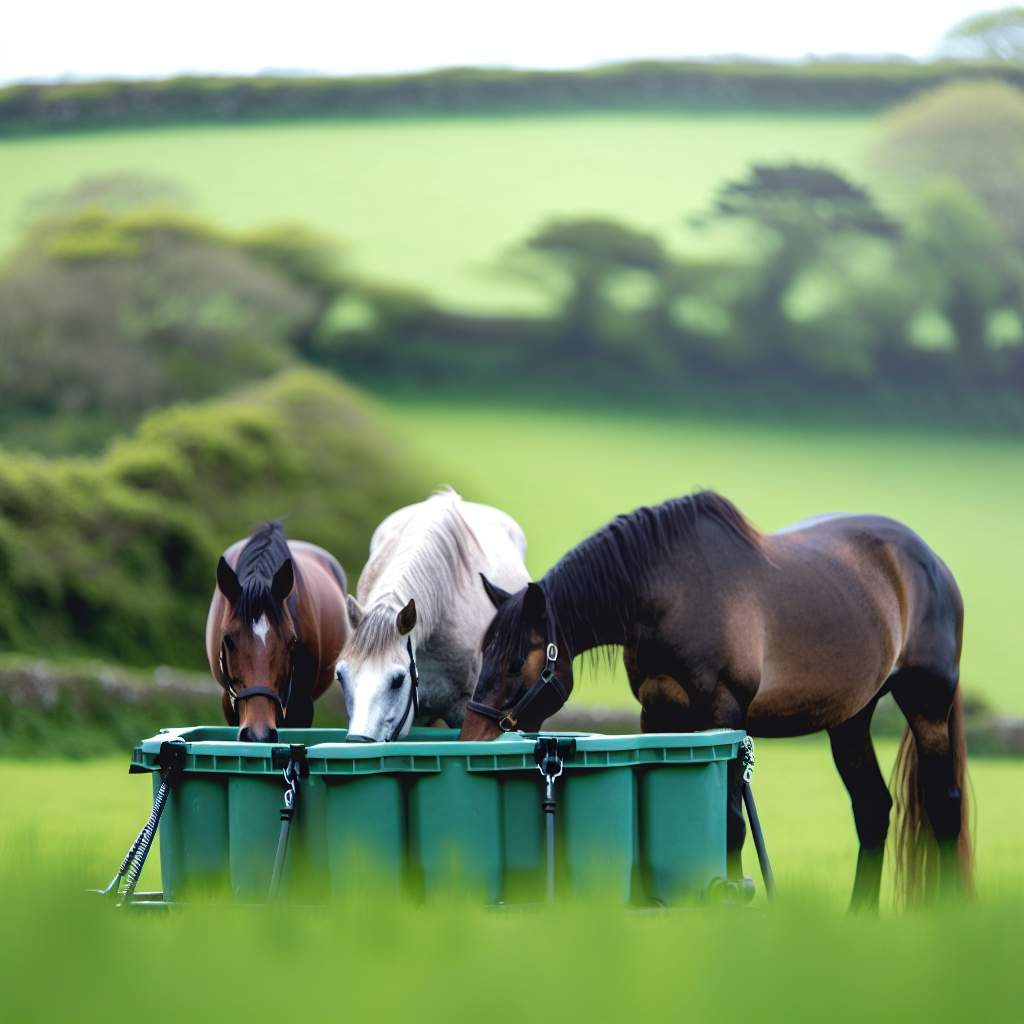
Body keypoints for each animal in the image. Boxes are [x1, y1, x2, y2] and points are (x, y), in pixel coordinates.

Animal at [462, 491, 972, 909]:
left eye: (513, 664)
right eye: (483, 653)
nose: (472, 733)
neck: (671, 592)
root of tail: (932, 562)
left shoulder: (723, 715)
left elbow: (731, 823)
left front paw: (728, 895)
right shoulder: (657, 713)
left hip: (927, 706)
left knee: (945, 805)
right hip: (850, 718)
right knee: (872, 810)